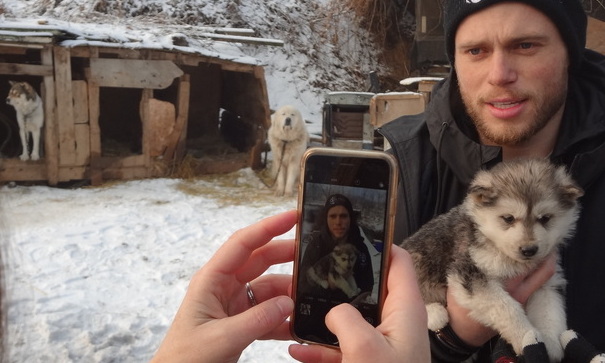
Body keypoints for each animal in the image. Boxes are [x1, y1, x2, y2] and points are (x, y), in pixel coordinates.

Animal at [398, 159, 584, 362]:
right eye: (508, 218)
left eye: (545, 218)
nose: (529, 250)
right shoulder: (471, 273)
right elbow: (507, 308)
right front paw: (525, 336)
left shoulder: (547, 282)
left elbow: (549, 310)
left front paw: (551, 344)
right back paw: (434, 314)